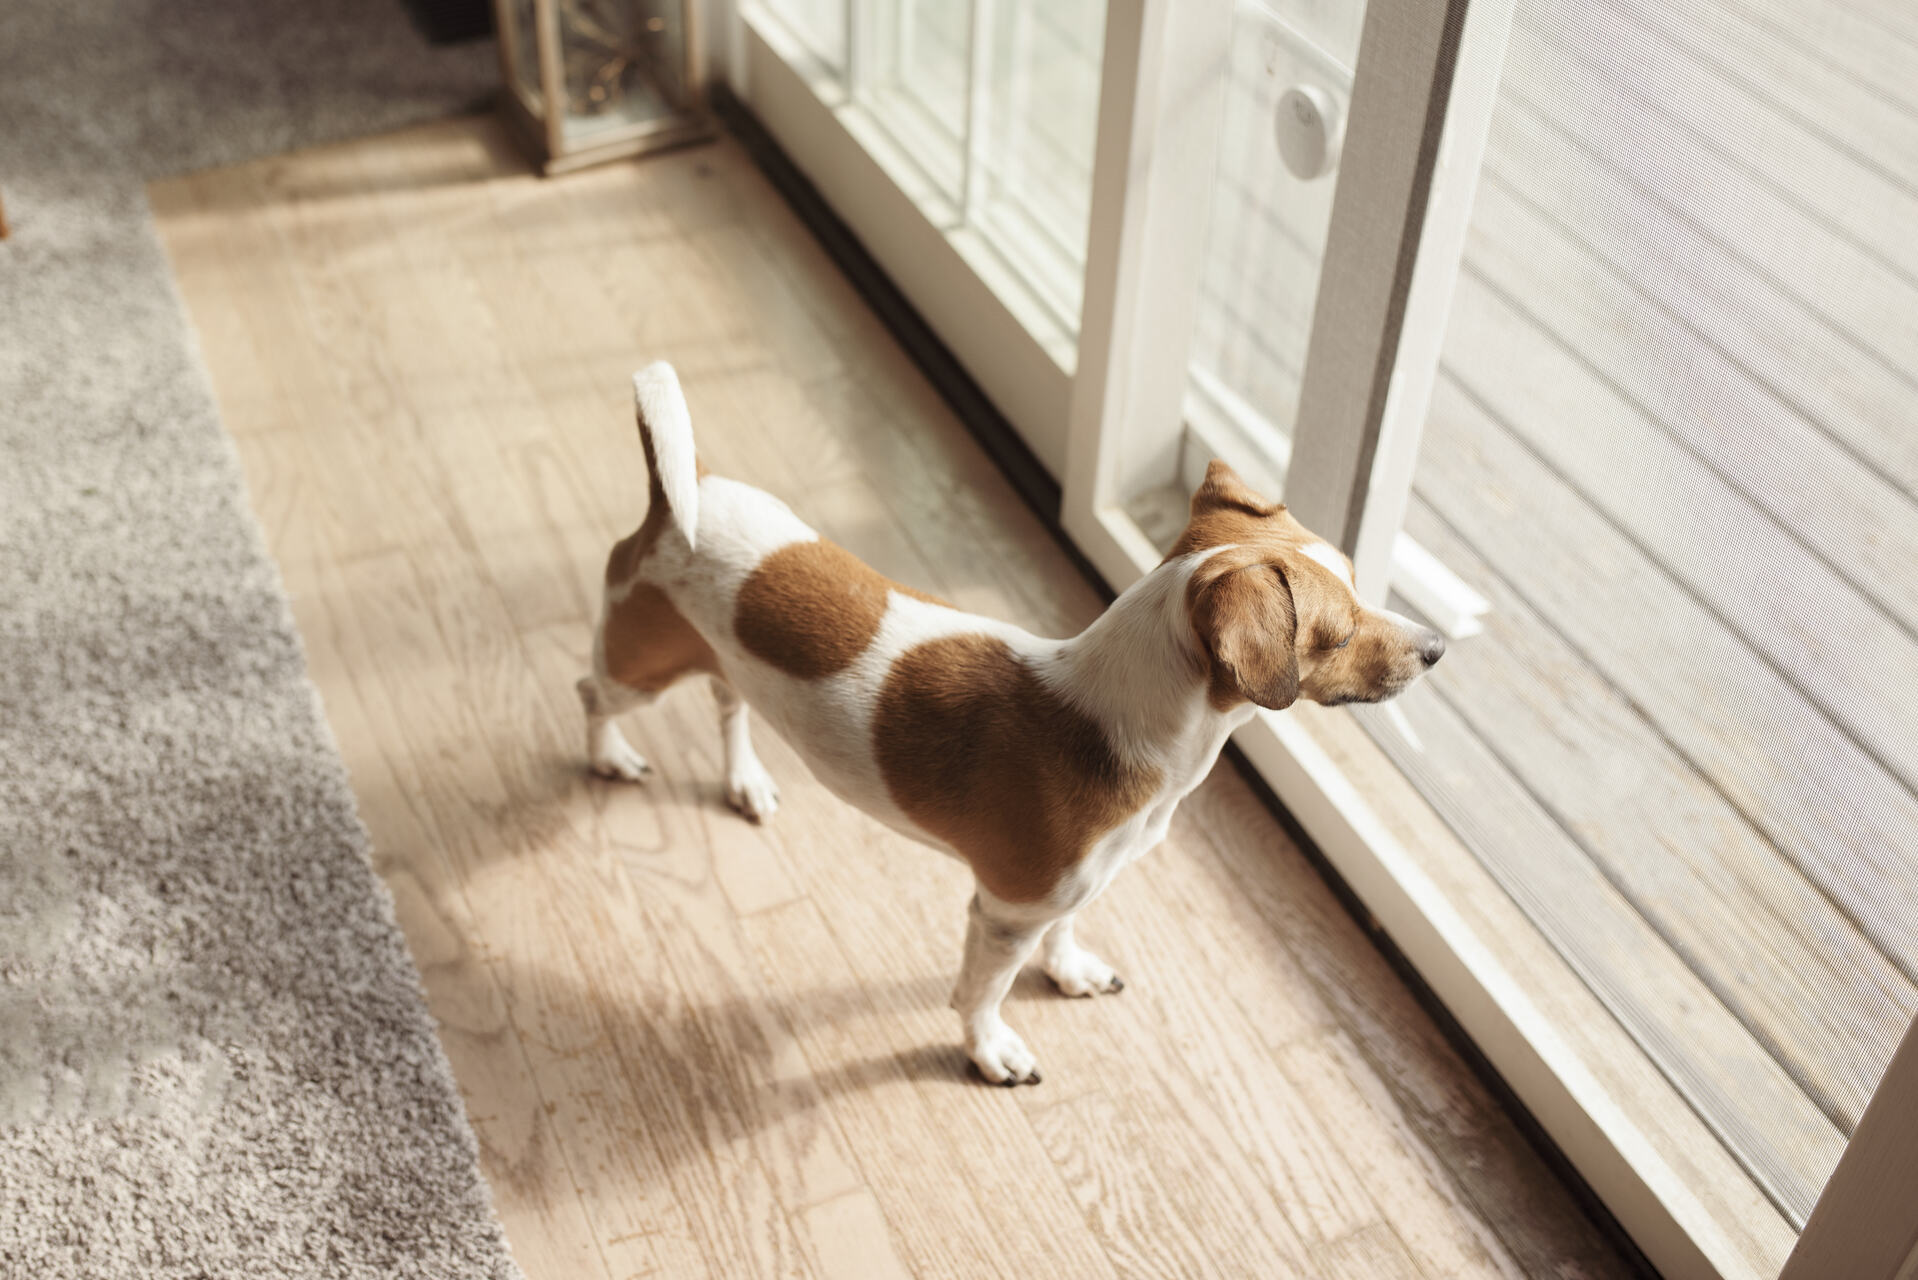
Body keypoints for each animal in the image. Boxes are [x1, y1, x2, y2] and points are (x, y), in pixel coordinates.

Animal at [575, 364, 1442, 1090]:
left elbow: (1065, 932)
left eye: (1360, 582)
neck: (1125, 721)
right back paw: (610, 758)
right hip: (638, 669)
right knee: (591, 692)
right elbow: (981, 994)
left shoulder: (1075, 889)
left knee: (729, 704)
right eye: (1337, 633)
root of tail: (676, 496)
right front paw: (990, 1049)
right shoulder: (1004, 913)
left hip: (723, 661)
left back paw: (745, 779)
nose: (1437, 648)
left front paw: (1068, 971)